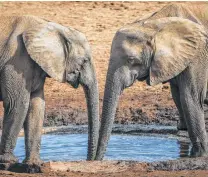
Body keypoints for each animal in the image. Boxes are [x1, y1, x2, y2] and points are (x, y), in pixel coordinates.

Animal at [0, 15, 100, 164]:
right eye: (85, 60)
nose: (90, 160)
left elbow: (37, 106)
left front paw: (34, 164)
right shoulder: (16, 60)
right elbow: (16, 104)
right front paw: (9, 161)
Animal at [96, 3, 208, 160]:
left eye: (131, 60)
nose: (94, 159)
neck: (153, 25)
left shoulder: (196, 54)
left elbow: (190, 97)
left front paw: (198, 155)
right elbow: (177, 94)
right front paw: (183, 129)